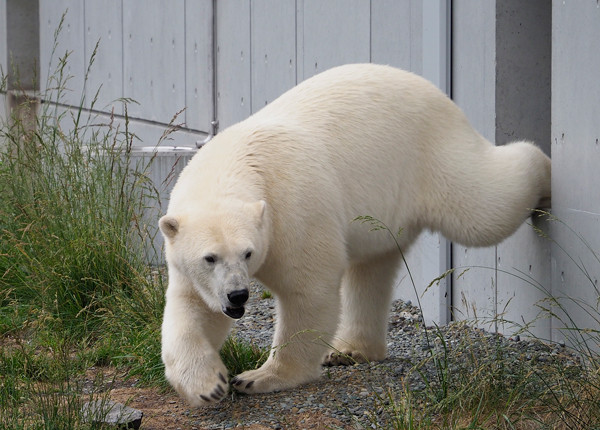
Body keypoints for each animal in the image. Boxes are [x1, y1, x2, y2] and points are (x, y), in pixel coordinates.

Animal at [158, 62, 548, 404]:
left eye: (247, 252)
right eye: (209, 257)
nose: (238, 295)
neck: (238, 162)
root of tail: (437, 93)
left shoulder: (295, 209)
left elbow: (308, 291)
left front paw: (260, 377)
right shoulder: (194, 265)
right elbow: (193, 309)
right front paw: (208, 385)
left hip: (432, 156)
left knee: (482, 207)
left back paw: (542, 173)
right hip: (380, 214)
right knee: (370, 271)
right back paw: (351, 349)